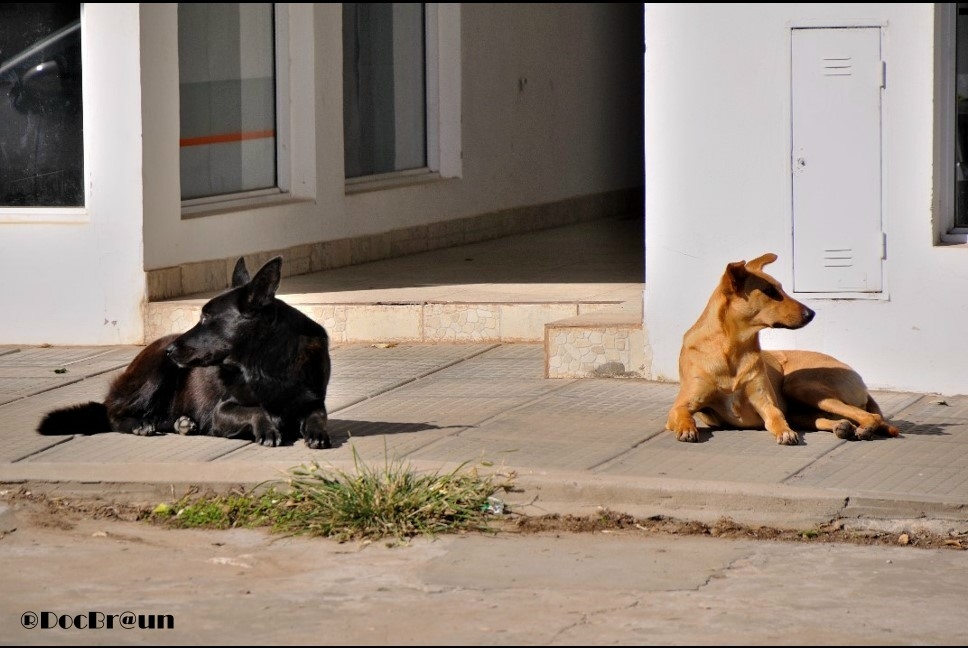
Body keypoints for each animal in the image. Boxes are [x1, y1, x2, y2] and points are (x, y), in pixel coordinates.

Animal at [36, 256, 332, 448]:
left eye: (205, 318)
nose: (171, 350)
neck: (266, 365)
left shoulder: (311, 402)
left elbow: (319, 414)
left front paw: (318, 433)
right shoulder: (222, 412)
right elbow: (256, 410)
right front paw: (268, 428)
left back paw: (182, 424)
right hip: (155, 373)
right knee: (113, 414)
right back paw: (140, 424)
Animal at [664, 253, 900, 446]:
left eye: (781, 288)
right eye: (769, 291)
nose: (811, 313)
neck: (731, 348)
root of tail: (862, 383)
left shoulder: (766, 403)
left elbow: (776, 418)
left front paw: (785, 433)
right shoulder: (682, 405)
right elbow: (683, 414)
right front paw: (687, 429)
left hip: (800, 385)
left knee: (871, 416)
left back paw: (863, 429)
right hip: (802, 407)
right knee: (834, 418)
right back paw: (843, 427)